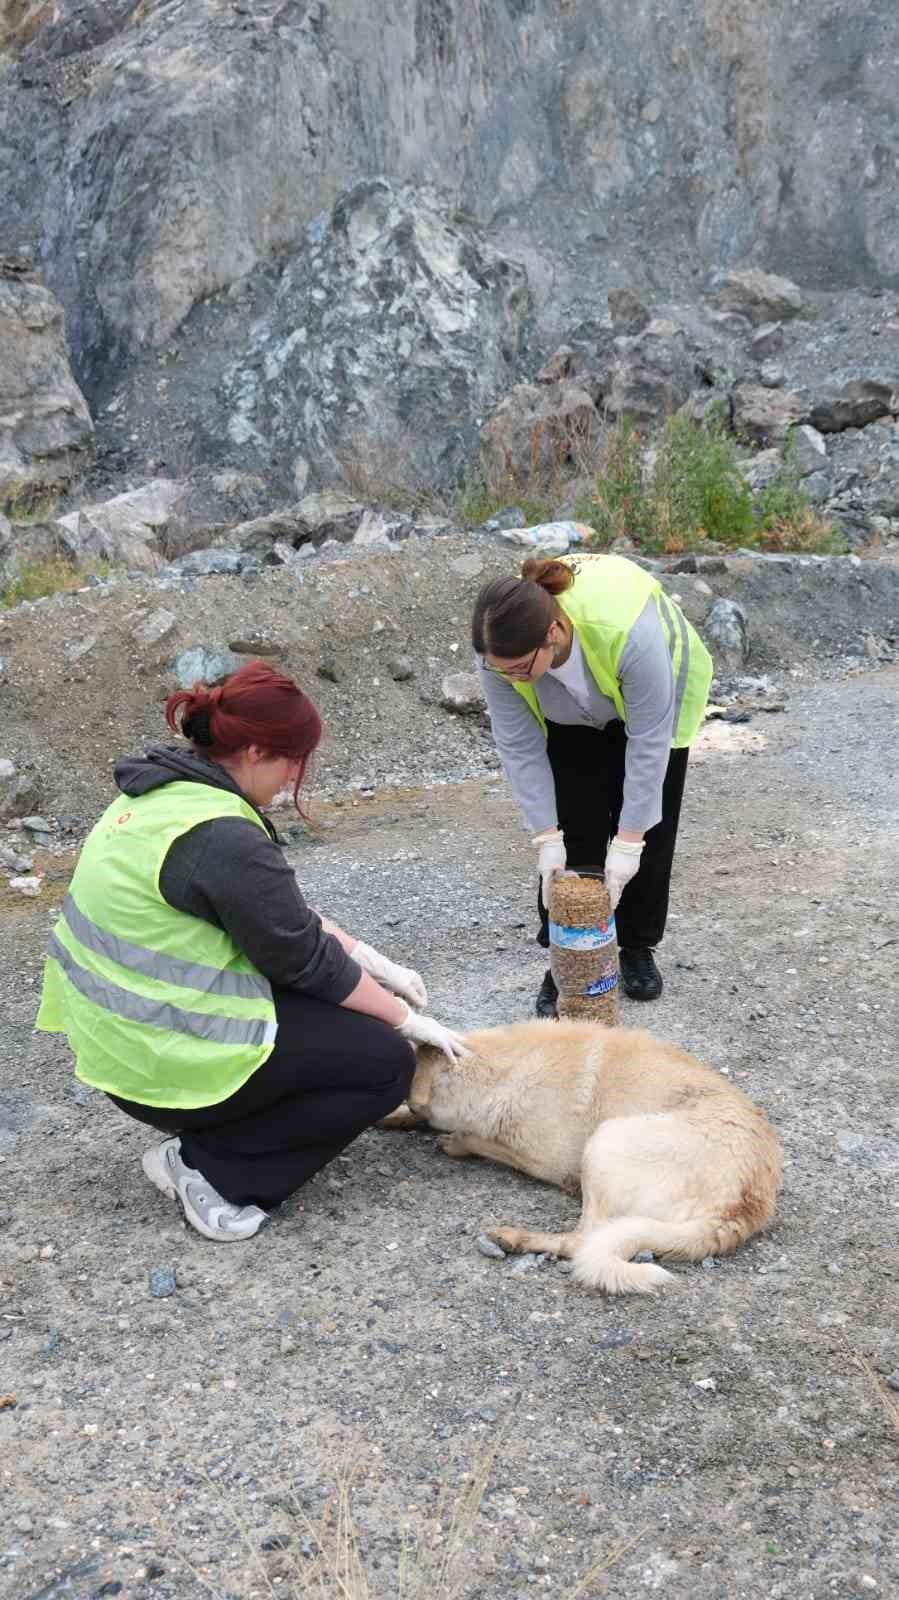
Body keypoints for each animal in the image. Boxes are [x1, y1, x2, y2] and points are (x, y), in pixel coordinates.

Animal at [380, 1017, 780, 1292]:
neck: (502, 1071)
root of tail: (742, 1208)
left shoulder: (546, 1163)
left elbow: (475, 1138)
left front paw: (454, 1141)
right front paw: (392, 1117)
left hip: (604, 1143)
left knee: (581, 1240)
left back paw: (516, 1237)